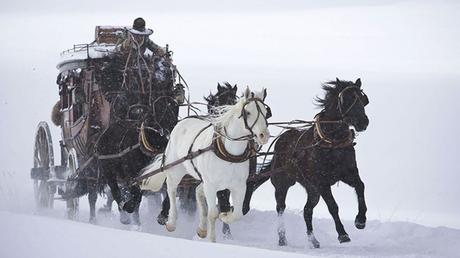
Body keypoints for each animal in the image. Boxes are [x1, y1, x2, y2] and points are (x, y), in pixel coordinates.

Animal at [140, 87, 270, 242]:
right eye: (248, 112)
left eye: (265, 112)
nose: (264, 135)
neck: (229, 154)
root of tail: (182, 122)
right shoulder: (211, 185)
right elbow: (212, 214)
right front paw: (212, 240)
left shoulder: (239, 186)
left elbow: (237, 213)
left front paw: (225, 216)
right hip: (176, 170)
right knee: (171, 190)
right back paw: (171, 222)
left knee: (197, 191)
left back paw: (202, 229)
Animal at [246, 78, 368, 248]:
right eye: (346, 99)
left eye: (363, 99)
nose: (363, 122)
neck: (332, 143)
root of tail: (280, 142)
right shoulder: (322, 183)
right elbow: (333, 206)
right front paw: (343, 234)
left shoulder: (348, 174)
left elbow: (360, 187)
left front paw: (360, 220)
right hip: (283, 183)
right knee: (280, 208)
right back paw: (282, 238)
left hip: (312, 189)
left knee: (307, 210)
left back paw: (313, 240)